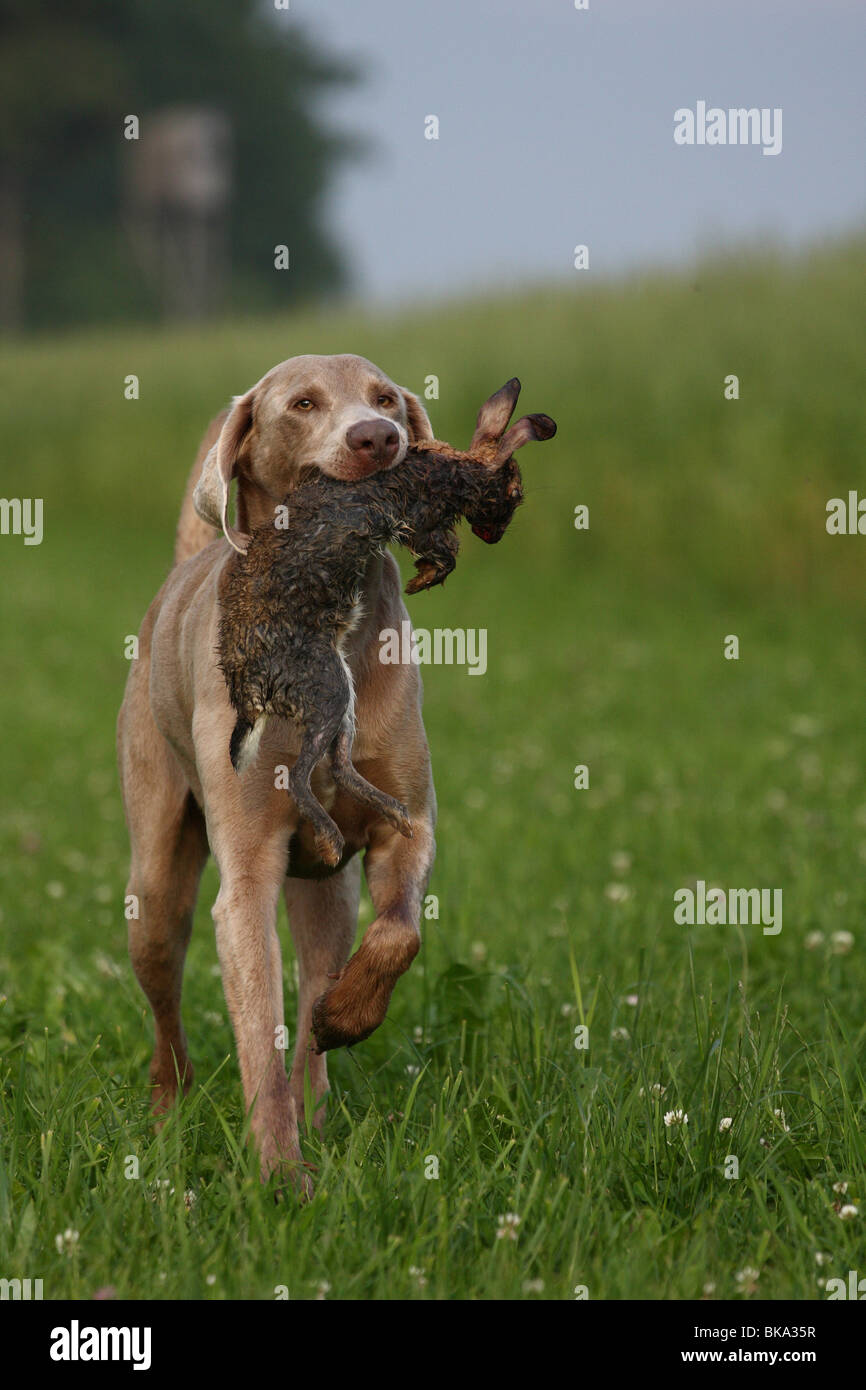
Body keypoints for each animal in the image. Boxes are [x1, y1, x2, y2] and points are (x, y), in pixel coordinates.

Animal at [116, 353, 439, 1189]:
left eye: (387, 398)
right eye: (302, 404)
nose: (378, 438)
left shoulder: (407, 822)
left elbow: (400, 933)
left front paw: (349, 1016)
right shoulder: (249, 875)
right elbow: (259, 1032)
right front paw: (280, 1180)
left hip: (326, 894)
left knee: (319, 983)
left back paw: (320, 1096)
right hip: (155, 888)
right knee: (166, 1012)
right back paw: (169, 1116)